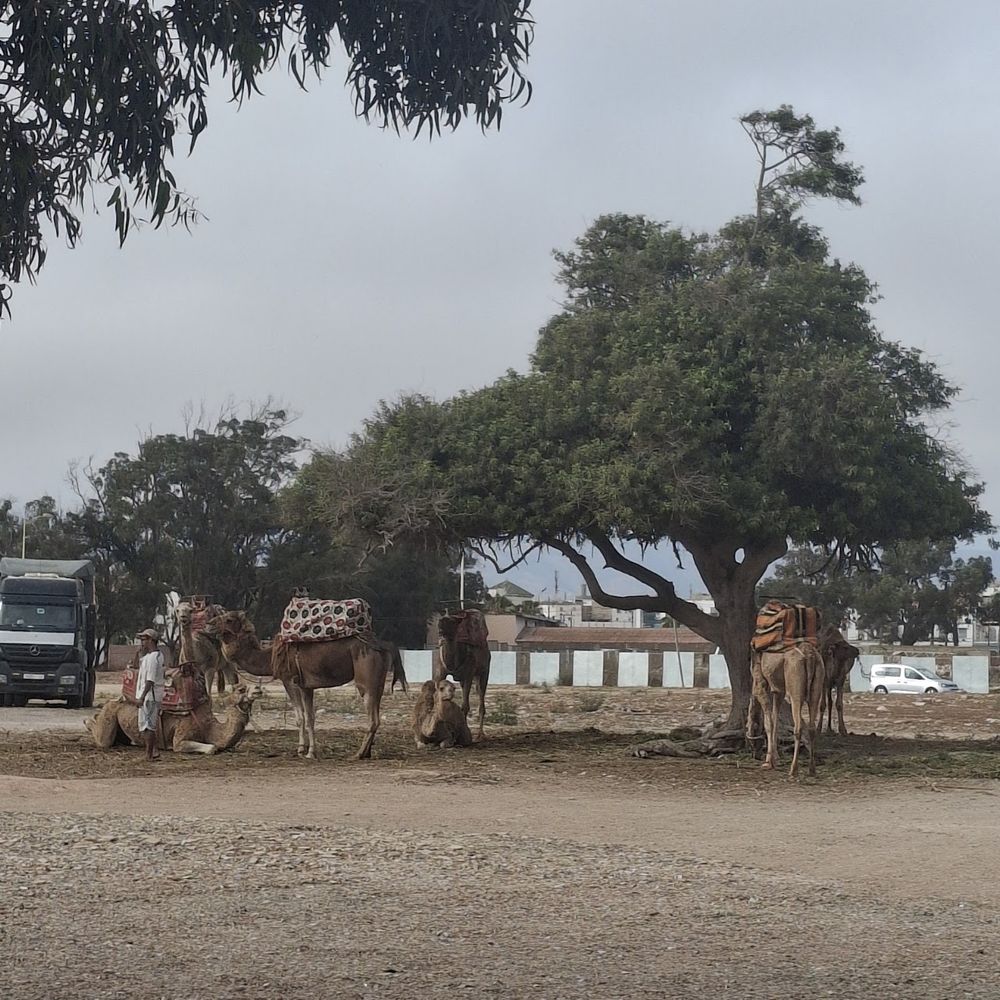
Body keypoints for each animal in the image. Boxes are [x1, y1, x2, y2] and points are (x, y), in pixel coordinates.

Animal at [85, 684, 256, 755]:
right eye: (241, 689)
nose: (258, 689)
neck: (209, 728)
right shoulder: (180, 739)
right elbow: (212, 748)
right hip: (110, 714)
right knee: (104, 740)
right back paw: (87, 720)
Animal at [214, 610, 401, 760]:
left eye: (228, 619)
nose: (210, 624)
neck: (270, 657)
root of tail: (383, 645)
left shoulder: (291, 681)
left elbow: (300, 717)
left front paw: (303, 751)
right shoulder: (307, 686)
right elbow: (309, 717)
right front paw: (308, 751)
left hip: (366, 679)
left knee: (372, 717)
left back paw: (357, 754)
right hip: (379, 682)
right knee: (376, 715)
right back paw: (366, 753)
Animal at [435, 610, 490, 740]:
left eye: (451, 621)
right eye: (441, 619)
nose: (440, 627)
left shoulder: (468, 674)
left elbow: (465, 706)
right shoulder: (440, 672)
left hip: (484, 671)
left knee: (481, 698)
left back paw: (480, 735)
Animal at [750, 642, 825, 777]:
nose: (754, 753)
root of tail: (810, 654)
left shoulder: (759, 684)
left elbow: (769, 723)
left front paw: (768, 762)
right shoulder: (778, 690)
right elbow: (775, 721)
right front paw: (774, 759)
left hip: (795, 683)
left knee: (798, 726)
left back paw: (793, 770)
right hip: (818, 680)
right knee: (812, 727)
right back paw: (812, 769)